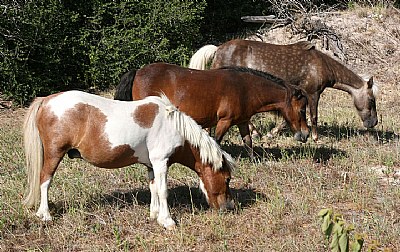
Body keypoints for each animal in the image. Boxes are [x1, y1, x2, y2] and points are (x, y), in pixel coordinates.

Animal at [22, 91, 234, 230]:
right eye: (227, 179)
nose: (229, 207)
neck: (173, 126)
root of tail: (46, 100)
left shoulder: (151, 165)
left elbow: (153, 188)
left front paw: (154, 214)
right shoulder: (161, 162)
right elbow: (163, 190)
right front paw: (167, 221)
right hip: (54, 154)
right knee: (45, 180)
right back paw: (45, 214)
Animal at [114, 62, 310, 156]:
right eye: (302, 110)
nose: (306, 134)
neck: (246, 88)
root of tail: (138, 71)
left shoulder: (242, 122)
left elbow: (248, 142)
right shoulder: (224, 121)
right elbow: (216, 141)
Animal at [189, 39, 380, 142]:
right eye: (371, 100)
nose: (373, 123)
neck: (321, 65)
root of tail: (217, 49)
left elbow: (286, 119)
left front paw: (273, 133)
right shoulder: (313, 93)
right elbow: (314, 116)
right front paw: (316, 138)